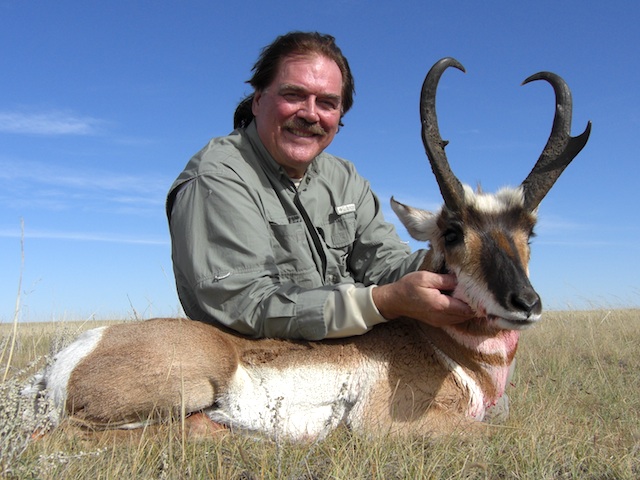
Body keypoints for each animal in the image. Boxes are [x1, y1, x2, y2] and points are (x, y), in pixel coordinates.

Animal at [28, 58, 592, 440]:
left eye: (530, 231)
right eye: (452, 232)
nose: (526, 303)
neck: (443, 347)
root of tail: (74, 352)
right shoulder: (390, 424)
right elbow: (498, 431)